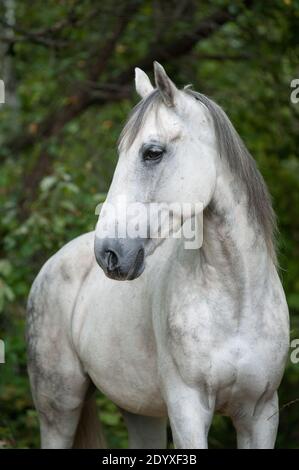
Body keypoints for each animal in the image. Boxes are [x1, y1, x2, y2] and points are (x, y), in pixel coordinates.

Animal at [27, 62, 290, 448]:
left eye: (152, 152)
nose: (108, 253)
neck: (237, 300)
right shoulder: (188, 410)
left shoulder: (260, 416)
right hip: (58, 408)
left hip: (140, 411)